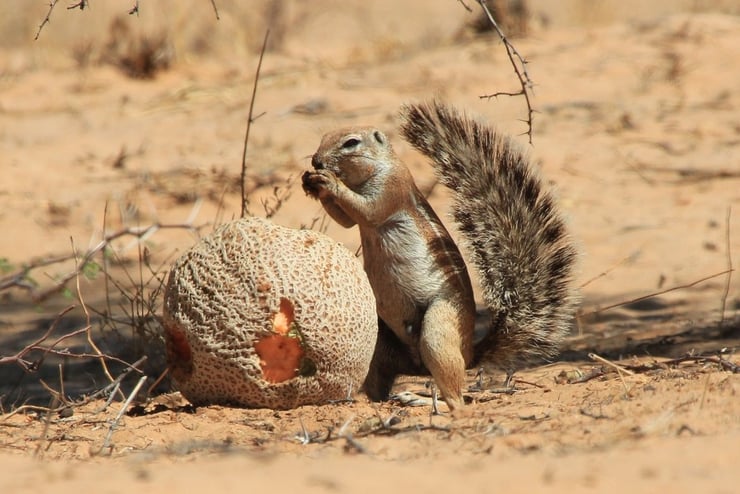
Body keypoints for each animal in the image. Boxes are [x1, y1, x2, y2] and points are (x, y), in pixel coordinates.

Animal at [301, 100, 578, 410]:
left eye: (351, 142)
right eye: (324, 137)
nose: (316, 161)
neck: (380, 165)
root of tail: (469, 354)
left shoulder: (391, 189)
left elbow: (367, 210)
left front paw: (328, 182)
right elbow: (347, 221)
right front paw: (311, 183)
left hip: (438, 329)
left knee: (457, 397)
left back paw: (421, 399)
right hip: (379, 342)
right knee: (381, 385)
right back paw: (374, 401)